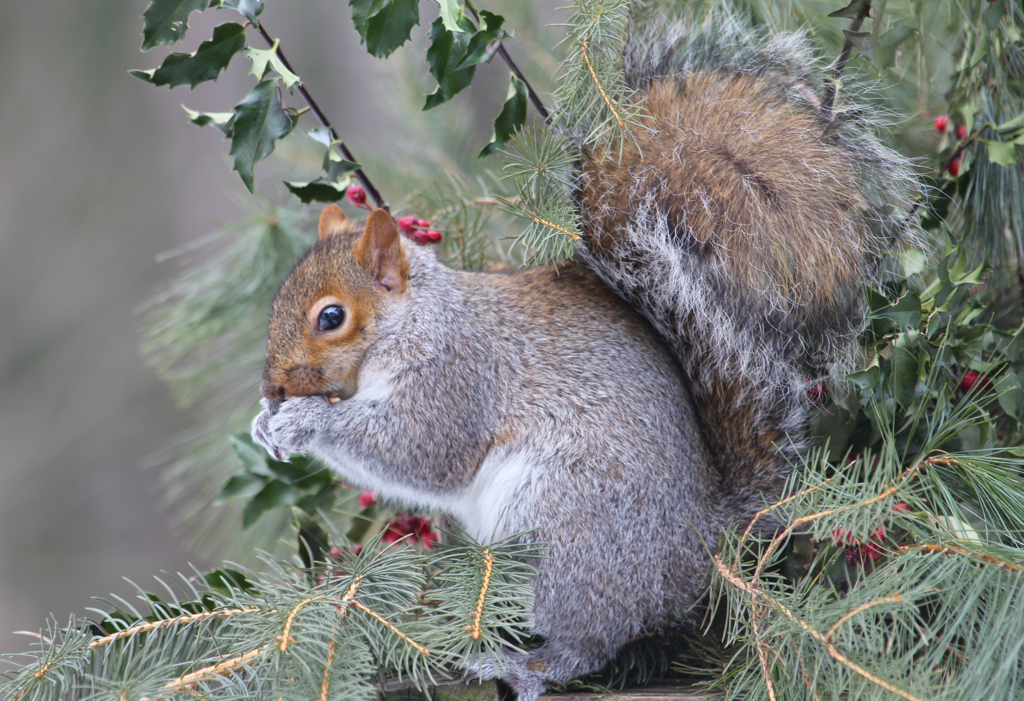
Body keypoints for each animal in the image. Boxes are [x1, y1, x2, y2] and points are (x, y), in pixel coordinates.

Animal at [249, 15, 921, 699]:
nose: (273, 388)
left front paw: (305, 422)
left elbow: (421, 451)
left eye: (331, 318)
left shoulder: (459, 374)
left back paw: (523, 665)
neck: (414, 323)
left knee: (588, 640)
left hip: (560, 530)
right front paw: (264, 423)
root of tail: (702, 545)